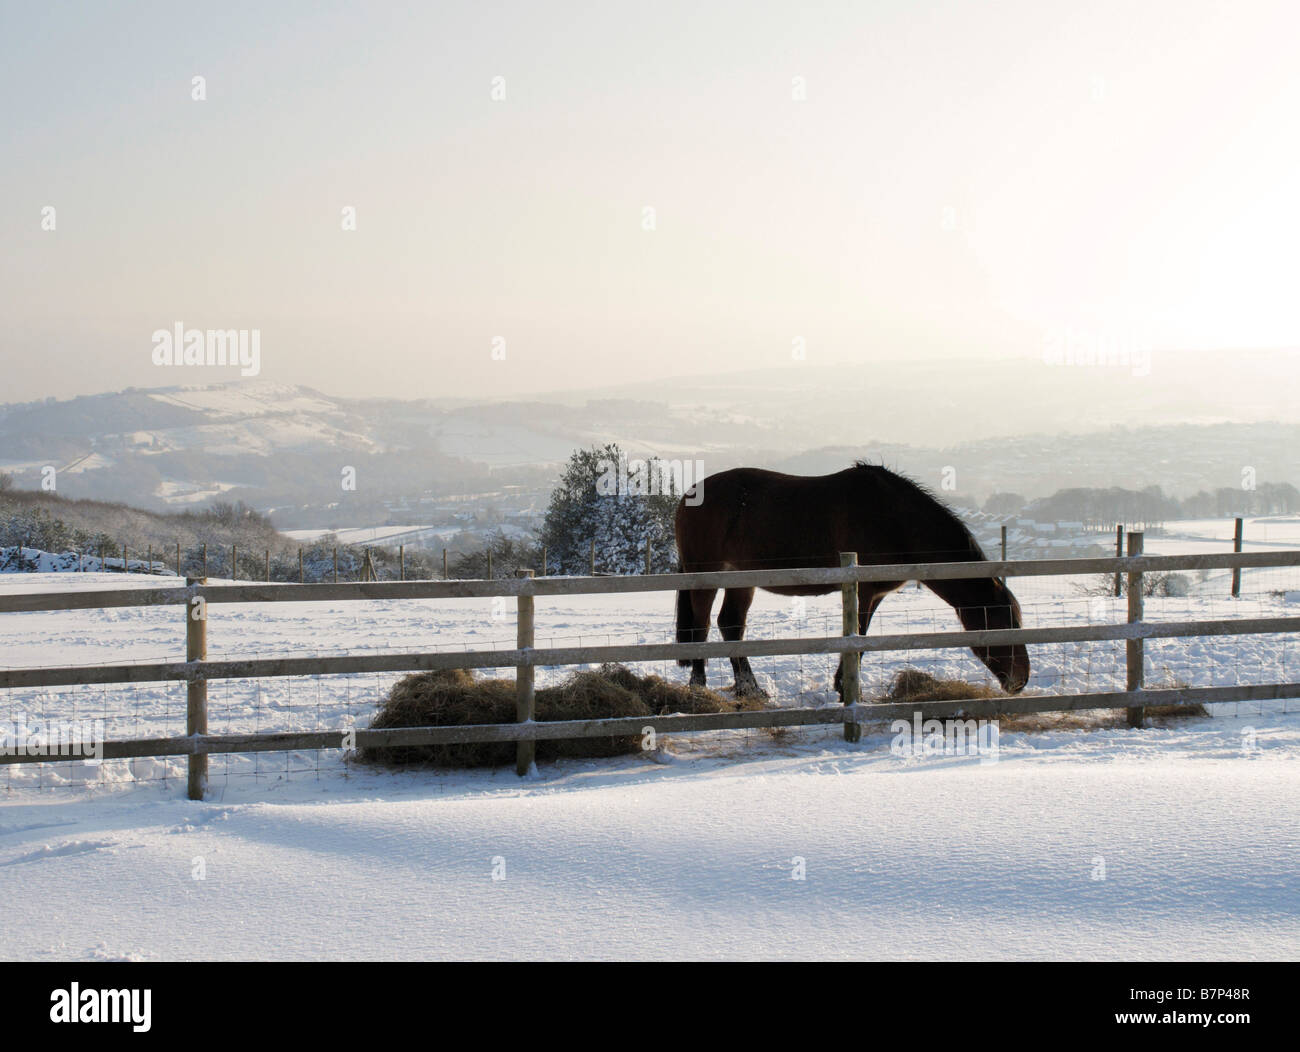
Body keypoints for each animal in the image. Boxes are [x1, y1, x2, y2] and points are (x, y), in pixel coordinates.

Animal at [676, 462, 1029, 702]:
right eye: (1003, 621)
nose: (1021, 680)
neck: (896, 519)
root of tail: (687, 497)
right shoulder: (866, 589)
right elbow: (859, 636)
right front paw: (846, 689)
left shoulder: (873, 593)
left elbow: (861, 637)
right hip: (706, 576)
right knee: (702, 626)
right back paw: (699, 687)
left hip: (741, 580)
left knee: (730, 624)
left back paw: (750, 690)